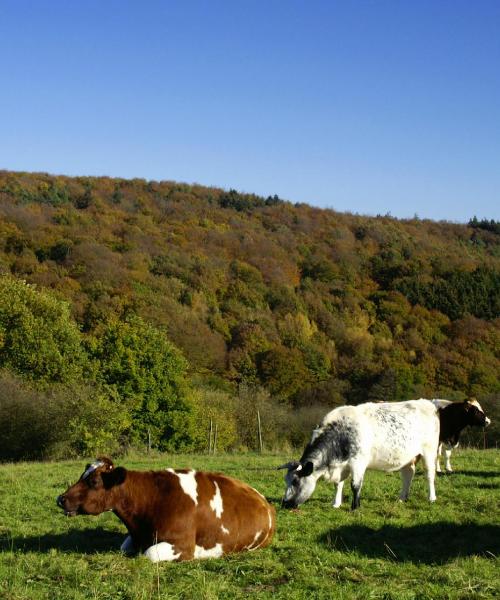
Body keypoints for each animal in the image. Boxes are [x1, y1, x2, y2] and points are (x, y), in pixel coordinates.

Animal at [58, 460, 278, 564]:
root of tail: (265, 502)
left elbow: (148, 554)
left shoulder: (182, 545)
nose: (60, 499)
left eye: (94, 481)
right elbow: (124, 547)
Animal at [280, 400, 440, 508]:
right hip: (408, 457)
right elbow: (338, 484)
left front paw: (355, 506)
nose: (285, 504)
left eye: (295, 481)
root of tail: (426, 403)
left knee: (429, 474)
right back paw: (402, 498)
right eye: (286, 481)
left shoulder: (358, 462)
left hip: (429, 451)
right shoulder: (341, 466)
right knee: (408, 473)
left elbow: (355, 485)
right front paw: (336, 504)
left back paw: (432, 498)